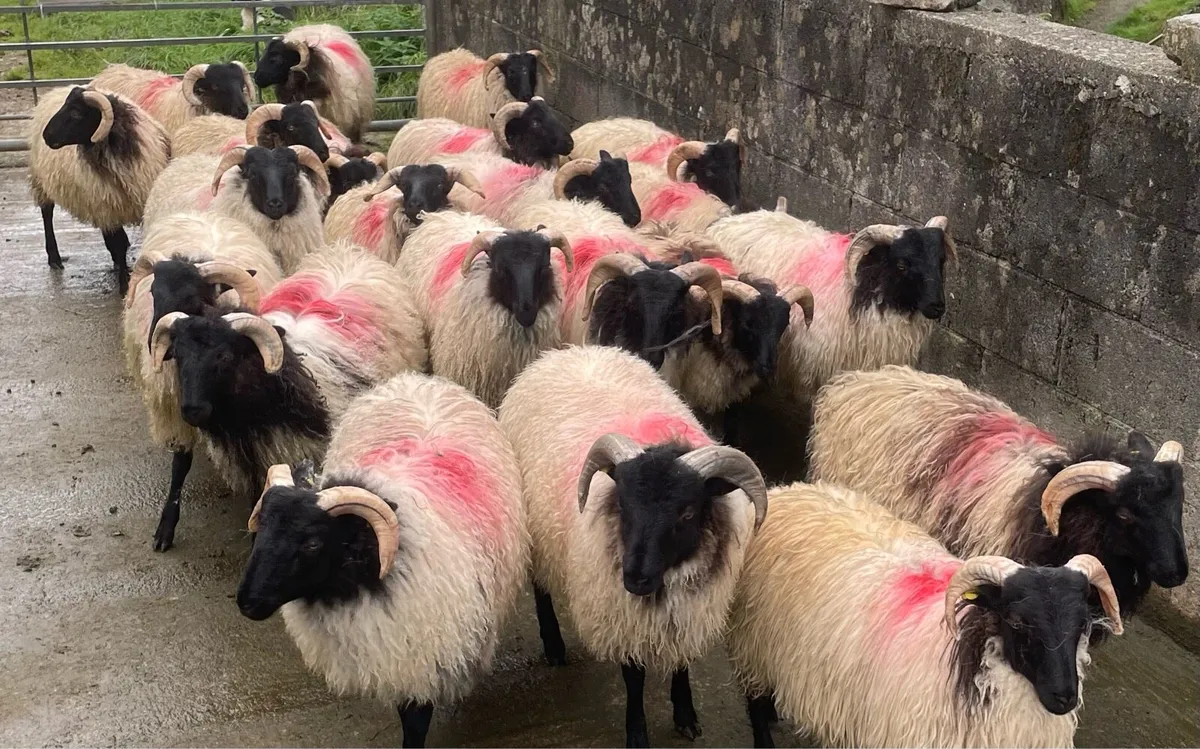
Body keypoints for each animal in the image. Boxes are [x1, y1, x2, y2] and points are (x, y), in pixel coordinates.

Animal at [28, 85, 171, 294]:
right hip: (42, 181)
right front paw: (124, 284)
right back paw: (54, 258)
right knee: (47, 213)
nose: (47, 136)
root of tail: (55, 90)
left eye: (76, 113)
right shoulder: (109, 208)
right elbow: (119, 245)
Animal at [122, 211, 284, 551]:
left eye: (191, 298)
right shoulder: (177, 407)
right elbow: (180, 464)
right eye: (153, 293)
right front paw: (165, 528)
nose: (155, 344)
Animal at [237, 371, 528, 748]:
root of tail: (419, 381)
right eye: (262, 529)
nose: (246, 601)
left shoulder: (419, 654)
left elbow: (415, 722)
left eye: (313, 543)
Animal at [498, 345, 768, 748]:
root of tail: (568, 352)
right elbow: (634, 678)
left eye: (687, 512)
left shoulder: (688, 613)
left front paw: (685, 714)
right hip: (535, 524)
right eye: (623, 505)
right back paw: (554, 644)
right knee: (540, 585)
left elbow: (681, 663)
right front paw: (637, 733)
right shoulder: (620, 612)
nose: (635, 578)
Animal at [727, 480, 1124, 748]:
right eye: (1016, 622)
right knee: (753, 699)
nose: (1065, 697)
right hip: (754, 636)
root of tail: (790, 491)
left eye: (1083, 624)